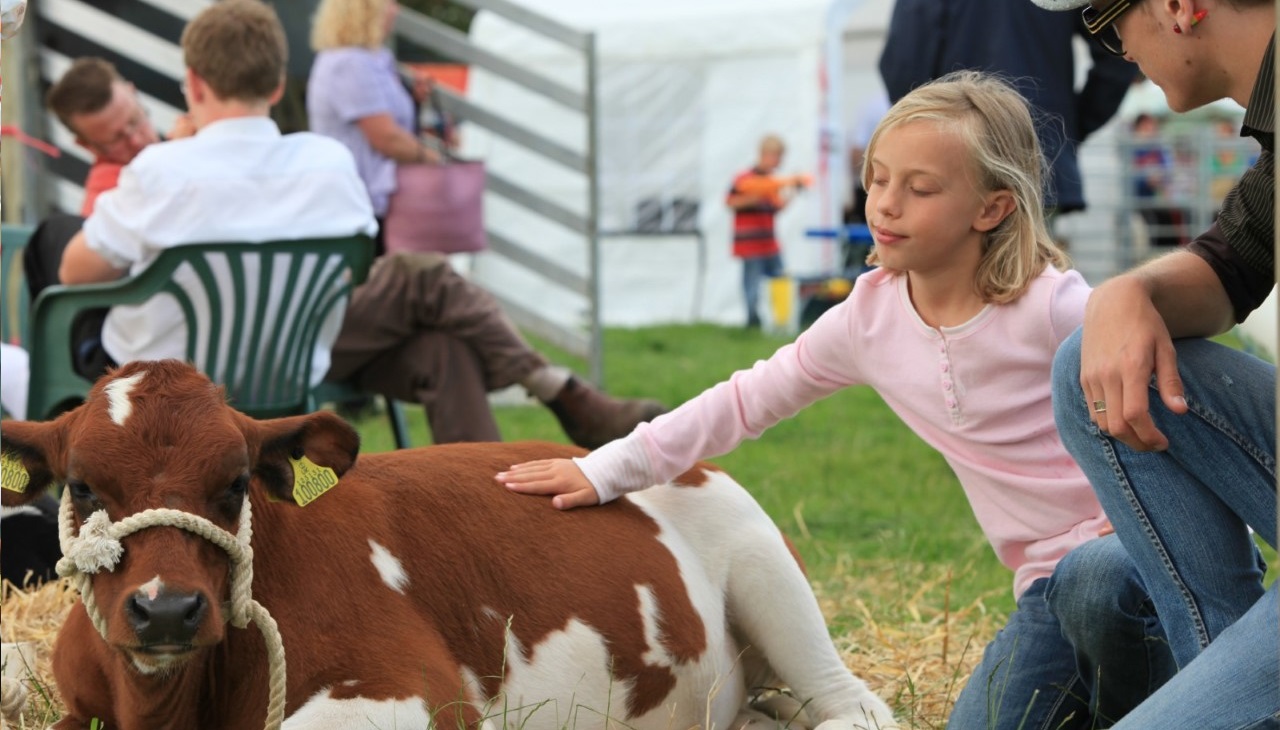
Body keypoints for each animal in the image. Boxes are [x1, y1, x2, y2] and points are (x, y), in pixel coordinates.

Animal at [2, 361, 901, 722]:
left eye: (234, 483)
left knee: (854, 705)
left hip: (765, 566)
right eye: (83, 487)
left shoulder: (420, 690)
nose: (166, 612)